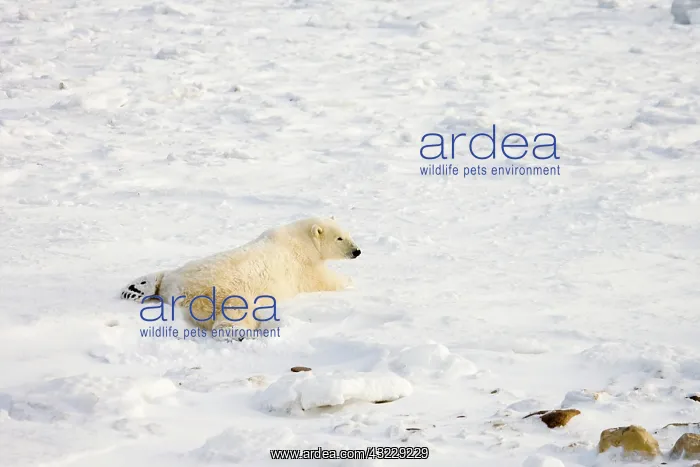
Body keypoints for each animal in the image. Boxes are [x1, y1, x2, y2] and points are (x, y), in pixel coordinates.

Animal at [120, 217, 361, 340]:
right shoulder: (302, 266)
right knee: (233, 314)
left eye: (349, 234)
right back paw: (238, 333)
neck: (299, 239)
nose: (357, 251)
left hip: (182, 271)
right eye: (340, 238)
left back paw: (135, 287)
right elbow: (324, 281)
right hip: (225, 293)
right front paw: (350, 282)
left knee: (162, 275)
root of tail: (178, 292)